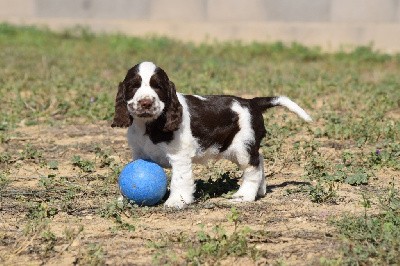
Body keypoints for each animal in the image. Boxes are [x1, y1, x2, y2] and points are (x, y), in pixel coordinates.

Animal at [112, 61, 312, 209]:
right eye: (133, 86)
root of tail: (251, 102)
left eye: (158, 87)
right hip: (236, 147)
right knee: (260, 158)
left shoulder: (179, 156)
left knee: (253, 167)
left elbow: (179, 180)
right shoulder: (139, 154)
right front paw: (124, 199)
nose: (145, 103)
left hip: (242, 147)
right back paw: (261, 190)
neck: (149, 124)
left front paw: (176, 202)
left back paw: (245, 195)